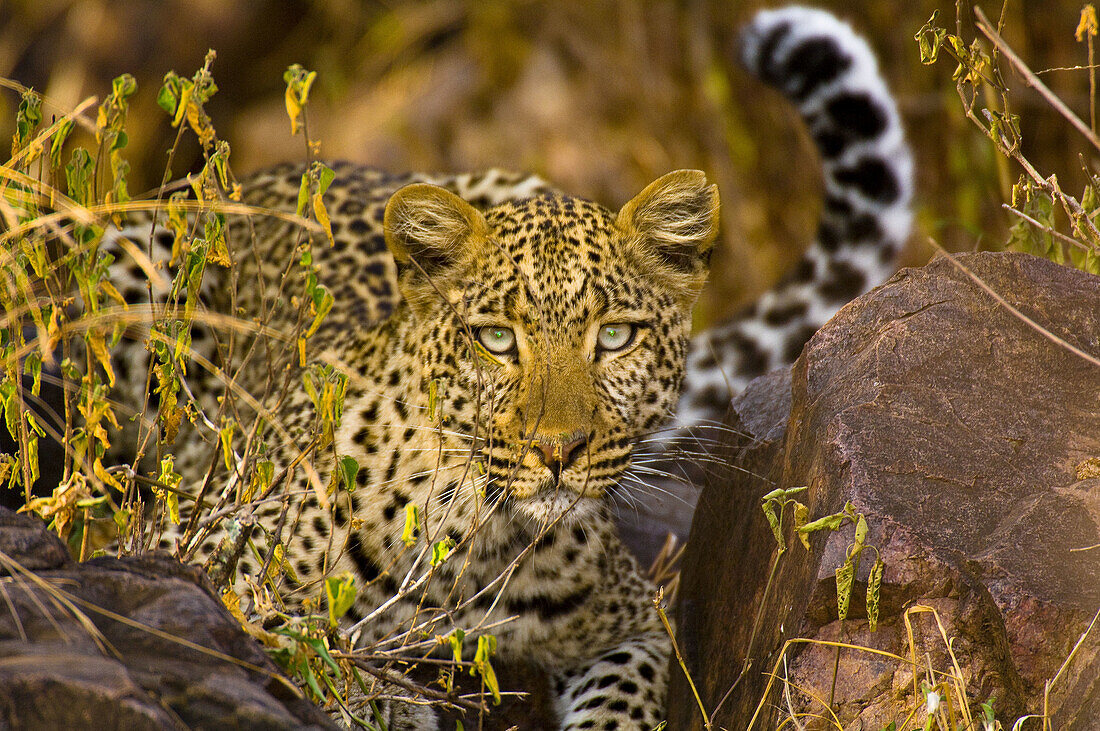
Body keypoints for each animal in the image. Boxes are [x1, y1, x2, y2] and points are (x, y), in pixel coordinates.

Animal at [81, 7, 910, 729]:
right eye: (497, 340)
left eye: (615, 336)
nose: (558, 451)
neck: (480, 544)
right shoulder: (205, 556)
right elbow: (301, 640)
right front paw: (384, 701)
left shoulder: (635, 624)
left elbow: (623, 702)